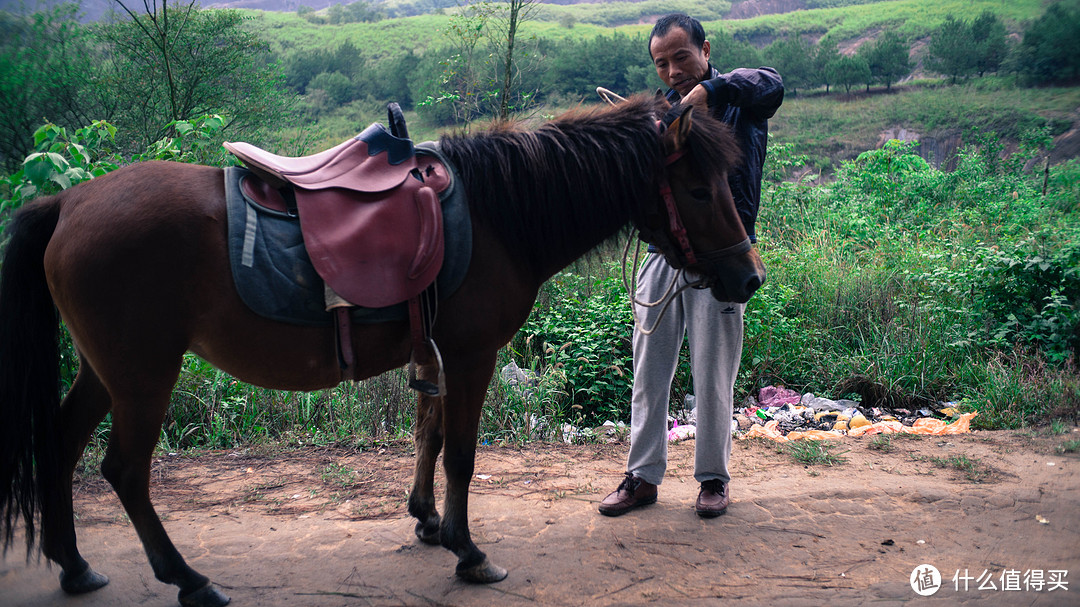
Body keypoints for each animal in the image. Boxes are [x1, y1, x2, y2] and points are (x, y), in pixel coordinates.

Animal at [0, 95, 764, 604]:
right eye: (698, 188)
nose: (749, 277)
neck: (497, 216)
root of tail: (67, 203)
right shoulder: (472, 354)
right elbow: (460, 453)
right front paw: (467, 550)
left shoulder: (436, 351)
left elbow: (427, 434)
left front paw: (426, 520)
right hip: (143, 375)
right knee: (124, 470)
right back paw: (188, 578)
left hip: (106, 371)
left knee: (61, 446)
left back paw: (75, 565)